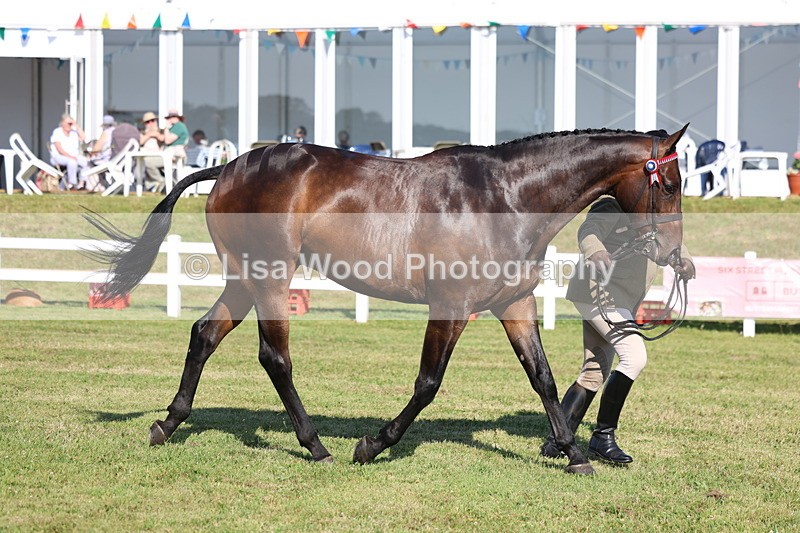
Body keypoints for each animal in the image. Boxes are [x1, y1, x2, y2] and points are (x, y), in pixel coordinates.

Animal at [89, 125, 689, 475]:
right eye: (670, 183)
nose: (672, 254)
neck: (504, 196)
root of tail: (232, 166)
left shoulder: (514, 304)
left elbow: (541, 377)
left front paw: (574, 454)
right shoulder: (451, 306)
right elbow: (428, 384)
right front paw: (373, 444)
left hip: (242, 279)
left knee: (204, 335)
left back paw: (168, 424)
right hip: (270, 278)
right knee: (274, 357)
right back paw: (315, 444)